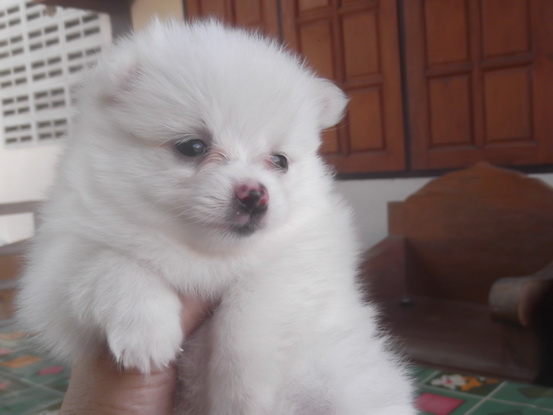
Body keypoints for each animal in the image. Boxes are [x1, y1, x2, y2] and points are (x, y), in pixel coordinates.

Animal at [17, 20, 415, 414]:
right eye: (193, 146)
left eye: (280, 160)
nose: (254, 195)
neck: (204, 255)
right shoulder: (55, 273)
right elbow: (109, 263)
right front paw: (145, 331)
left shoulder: (300, 262)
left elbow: (246, 317)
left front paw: (241, 397)